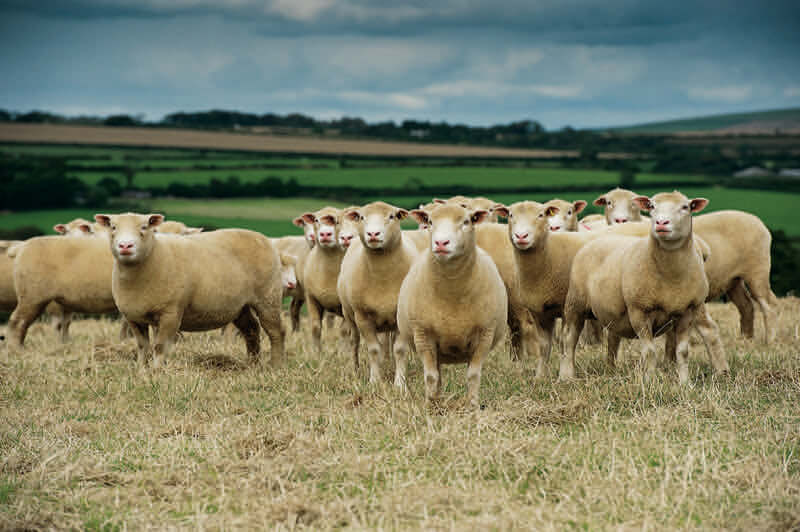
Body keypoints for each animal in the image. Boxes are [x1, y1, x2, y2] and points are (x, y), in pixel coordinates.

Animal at [94, 213, 284, 367]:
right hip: (240, 306)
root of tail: (261, 237)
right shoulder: (133, 317)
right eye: (113, 227)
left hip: (268, 297)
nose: (125, 246)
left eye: (144, 227)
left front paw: (156, 372)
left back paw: (275, 366)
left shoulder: (171, 313)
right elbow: (142, 347)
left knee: (276, 332)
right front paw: (141, 372)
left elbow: (159, 346)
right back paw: (252, 364)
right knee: (252, 329)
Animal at [299, 207, 347, 353]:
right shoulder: (311, 297)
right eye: (316, 220)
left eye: (337, 221)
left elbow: (344, 331)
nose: (325, 234)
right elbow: (315, 328)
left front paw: (344, 353)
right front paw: (316, 353)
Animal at [336, 202, 418, 381]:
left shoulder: (400, 317)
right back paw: (355, 370)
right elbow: (373, 350)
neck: (383, 277)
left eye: (391, 216)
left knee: (388, 344)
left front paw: (400, 382)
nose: (373, 233)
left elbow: (399, 349)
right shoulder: (363, 317)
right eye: (362, 217)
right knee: (354, 342)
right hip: (349, 315)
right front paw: (375, 380)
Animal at [394, 204, 507, 408]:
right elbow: (431, 376)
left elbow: (473, 375)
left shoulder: (485, 334)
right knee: (436, 373)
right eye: (430, 222)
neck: (452, 289)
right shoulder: (422, 334)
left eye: (466, 221)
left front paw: (473, 405)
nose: (441, 242)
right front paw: (430, 405)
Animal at [562, 191, 728, 384]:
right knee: (569, 339)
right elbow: (649, 352)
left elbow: (683, 351)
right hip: (575, 304)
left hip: (612, 311)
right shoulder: (639, 311)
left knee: (612, 339)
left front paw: (685, 383)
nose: (661, 223)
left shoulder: (687, 311)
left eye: (685, 207)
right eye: (652, 206)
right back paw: (567, 375)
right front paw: (650, 381)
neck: (671, 276)